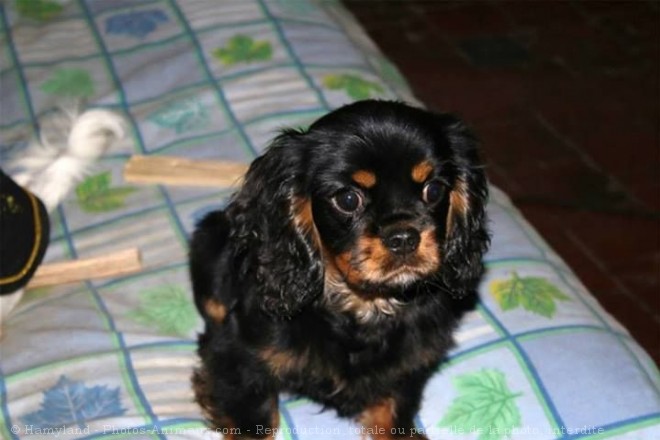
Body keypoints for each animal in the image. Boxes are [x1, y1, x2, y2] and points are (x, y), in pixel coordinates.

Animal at [188, 100, 488, 440]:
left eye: (434, 190)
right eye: (347, 199)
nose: (404, 238)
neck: (364, 305)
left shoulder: (407, 369)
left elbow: (393, 417)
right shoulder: (238, 360)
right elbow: (255, 420)